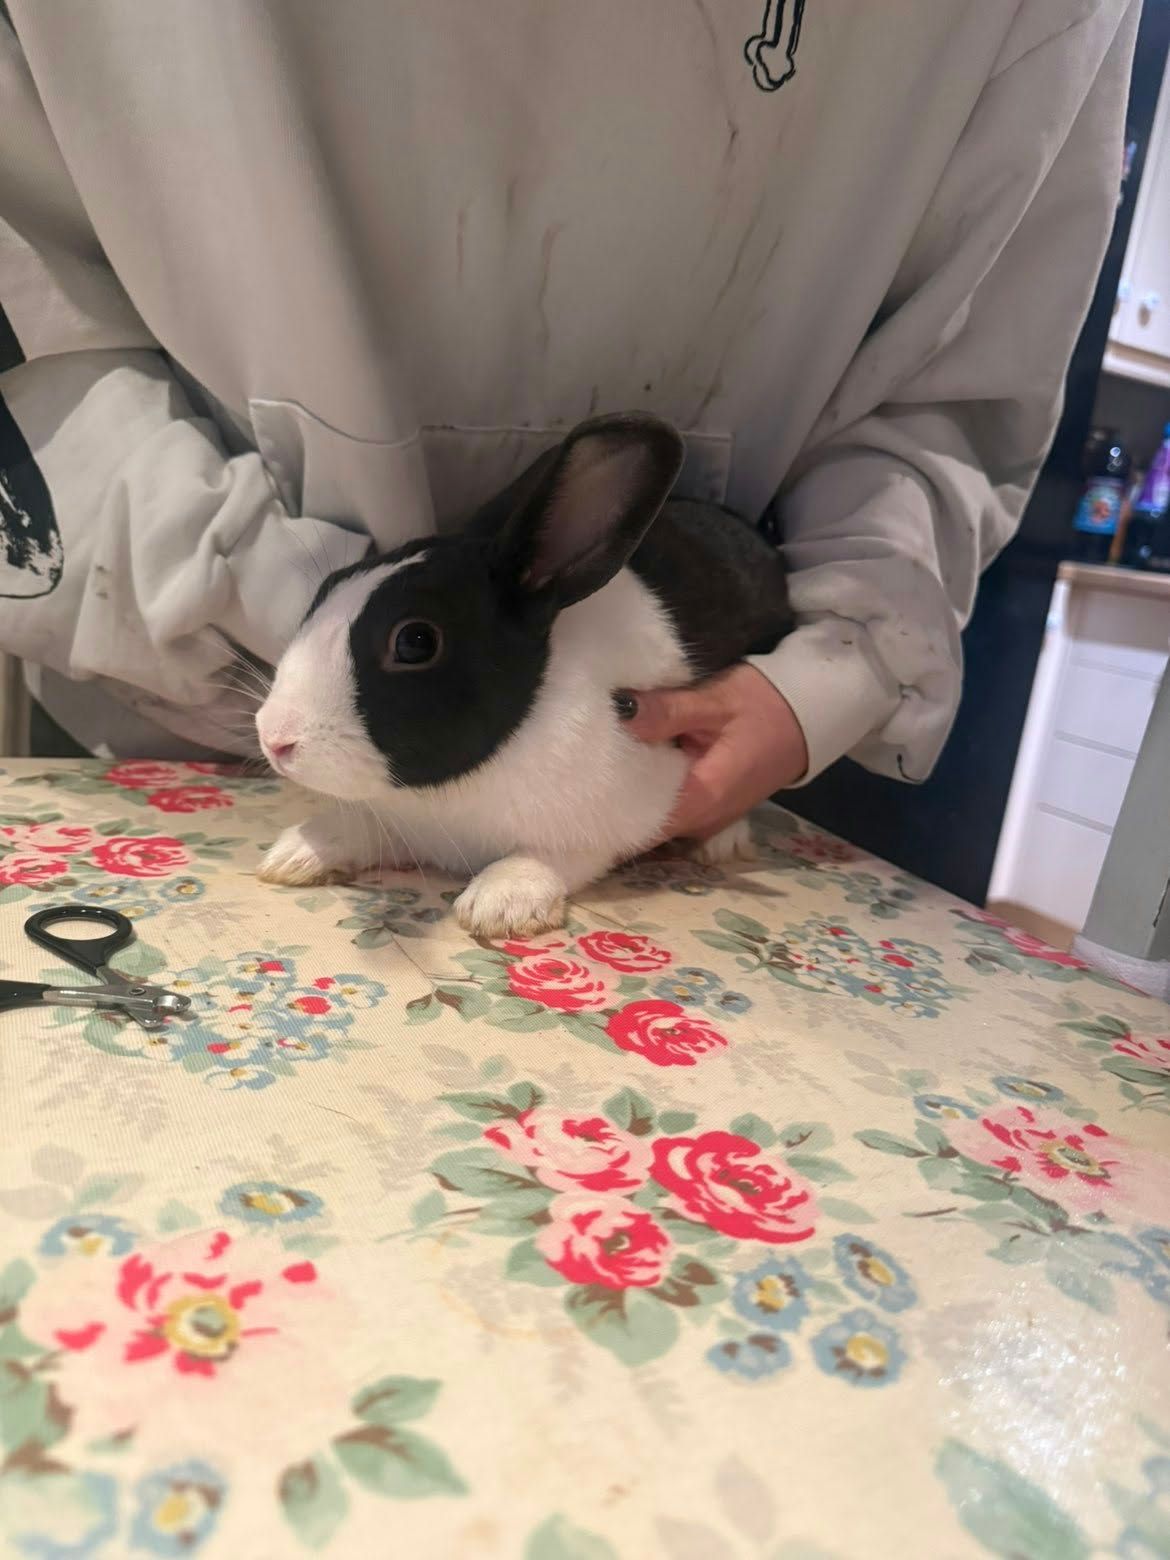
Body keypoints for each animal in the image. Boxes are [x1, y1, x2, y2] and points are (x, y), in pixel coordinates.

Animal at [255, 412, 793, 938]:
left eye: (415, 641)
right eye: (328, 587)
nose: (274, 739)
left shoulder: (626, 808)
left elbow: (554, 855)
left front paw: (501, 902)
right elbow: (363, 827)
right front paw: (296, 853)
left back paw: (724, 840)